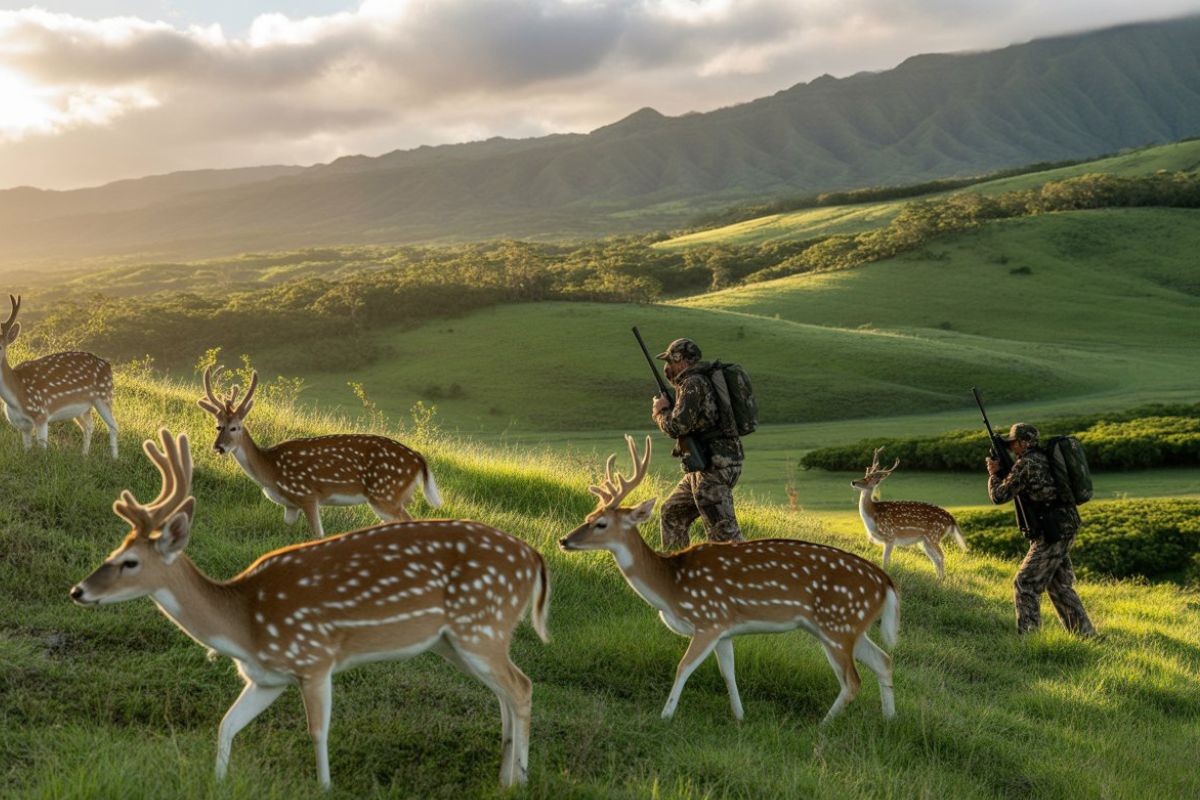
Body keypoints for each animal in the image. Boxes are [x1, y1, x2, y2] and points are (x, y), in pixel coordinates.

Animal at [0, 294, 118, 457]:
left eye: (0, 345)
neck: (16, 396)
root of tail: (108, 365)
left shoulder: (41, 414)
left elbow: (42, 448)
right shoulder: (23, 425)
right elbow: (27, 450)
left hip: (104, 396)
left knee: (113, 426)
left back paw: (115, 458)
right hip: (83, 408)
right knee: (89, 426)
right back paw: (84, 456)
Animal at [71, 428, 551, 788]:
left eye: (130, 562)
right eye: (114, 549)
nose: (78, 591)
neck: (243, 625)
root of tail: (535, 560)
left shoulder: (314, 658)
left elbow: (318, 732)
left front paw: (325, 786)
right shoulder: (265, 678)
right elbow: (226, 724)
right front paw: (218, 781)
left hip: (481, 624)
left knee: (522, 687)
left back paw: (521, 779)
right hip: (454, 641)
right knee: (504, 692)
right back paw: (504, 776)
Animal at [198, 364, 439, 536]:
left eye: (235, 427)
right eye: (218, 426)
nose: (219, 447)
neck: (270, 472)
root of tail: (419, 460)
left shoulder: (307, 494)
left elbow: (318, 534)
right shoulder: (290, 506)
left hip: (385, 493)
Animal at [559, 435, 898, 724]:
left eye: (601, 523)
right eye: (588, 516)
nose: (564, 540)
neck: (671, 588)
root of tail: (886, 583)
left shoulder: (708, 618)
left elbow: (683, 667)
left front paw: (665, 716)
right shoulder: (724, 628)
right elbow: (728, 673)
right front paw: (739, 715)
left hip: (838, 623)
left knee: (852, 680)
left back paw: (824, 725)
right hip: (849, 626)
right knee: (883, 660)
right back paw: (889, 720)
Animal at [851, 447, 967, 580]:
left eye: (871, 478)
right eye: (865, 475)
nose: (853, 482)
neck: (873, 515)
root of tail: (951, 519)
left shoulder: (890, 535)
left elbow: (885, 561)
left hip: (934, 535)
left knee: (941, 556)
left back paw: (942, 579)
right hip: (925, 541)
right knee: (935, 558)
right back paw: (938, 579)